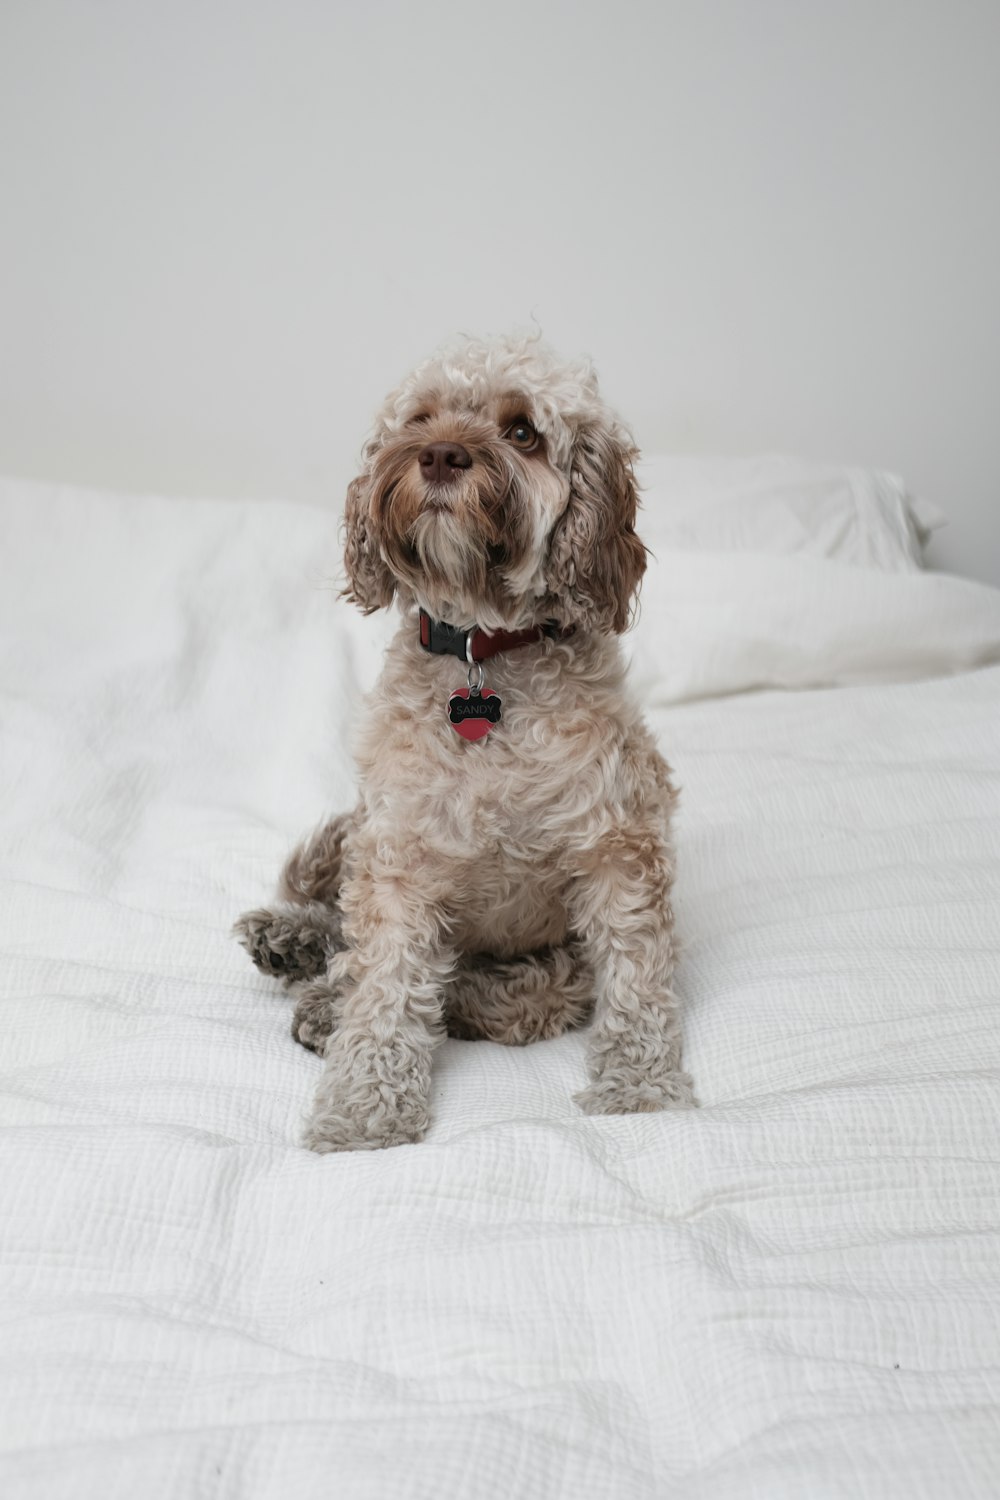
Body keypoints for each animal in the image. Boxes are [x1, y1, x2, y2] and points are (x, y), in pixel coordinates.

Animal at [235, 334, 695, 1152]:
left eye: (523, 431)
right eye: (421, 418)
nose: (442, 454)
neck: (484, 657)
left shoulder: (618, 843)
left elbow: (636, 977)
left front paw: (640, 1090)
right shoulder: (398, 853)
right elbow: (385, 983)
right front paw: (364, 1111)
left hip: (552, 973)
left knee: (485, 994)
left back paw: (322, 996)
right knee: (349, 937)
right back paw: (293, 943)